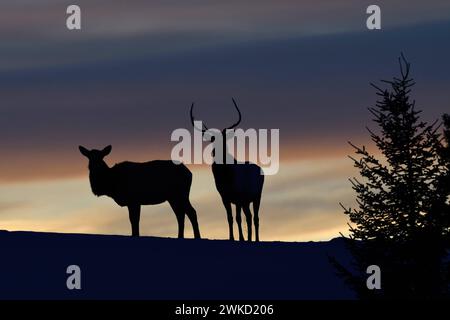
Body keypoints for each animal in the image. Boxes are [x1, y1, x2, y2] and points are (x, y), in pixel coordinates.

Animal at [190, 99, 264, 241]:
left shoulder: (238, 196)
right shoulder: (224, 196)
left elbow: (238, 218)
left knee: (256, 218)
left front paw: (240, 238)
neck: (226, 176)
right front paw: (232, 237)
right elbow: (229, 218)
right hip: (246, 201)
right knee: (249, 216)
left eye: (224, 140)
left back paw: (256, 239)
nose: (215, 152)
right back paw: (249, 238)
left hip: (257, 195)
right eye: (213, 140)